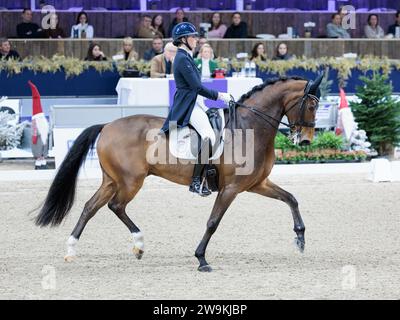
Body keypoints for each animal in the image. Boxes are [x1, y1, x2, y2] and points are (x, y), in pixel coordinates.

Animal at [33, 75, 322, 272]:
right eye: (311, 106)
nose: (306, 140)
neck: (249, 127)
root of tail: (107, 125)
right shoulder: (230, 189)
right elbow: (213, 222)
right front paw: (201, 259)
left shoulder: (257, 183)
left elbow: (291, 198)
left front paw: (300, 238)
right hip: (130, 181)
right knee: (115, 206)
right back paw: (138, 244)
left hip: (112, 180)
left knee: (90, 207)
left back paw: (74, 249)